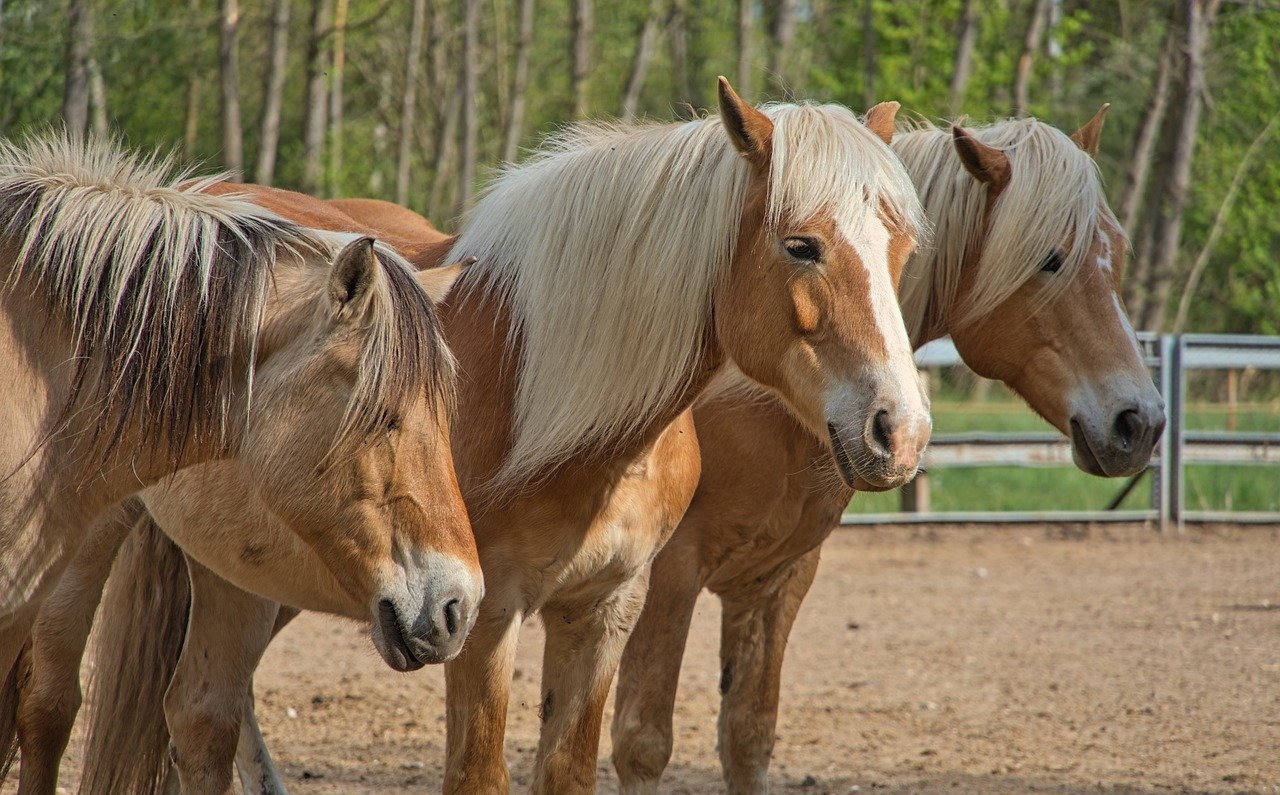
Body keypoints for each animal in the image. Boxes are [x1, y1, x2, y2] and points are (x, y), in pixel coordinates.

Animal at [8, 80, 932, 795]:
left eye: (902, 248)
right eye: (801, 245)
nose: (901, 430)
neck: (544, 392)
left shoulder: (604, 611)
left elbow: (568, 771)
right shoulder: (483, 620)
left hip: (240, 571)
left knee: (202, 717)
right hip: (84, 542)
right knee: (50, 707)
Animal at [609, 107, 1167, 794]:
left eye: (1115, 250)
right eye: (1050, 259)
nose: (1140, 422)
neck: (764, 398)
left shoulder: (776, 578)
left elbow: (747, 736)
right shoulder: (668, 576)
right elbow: (642, 743)